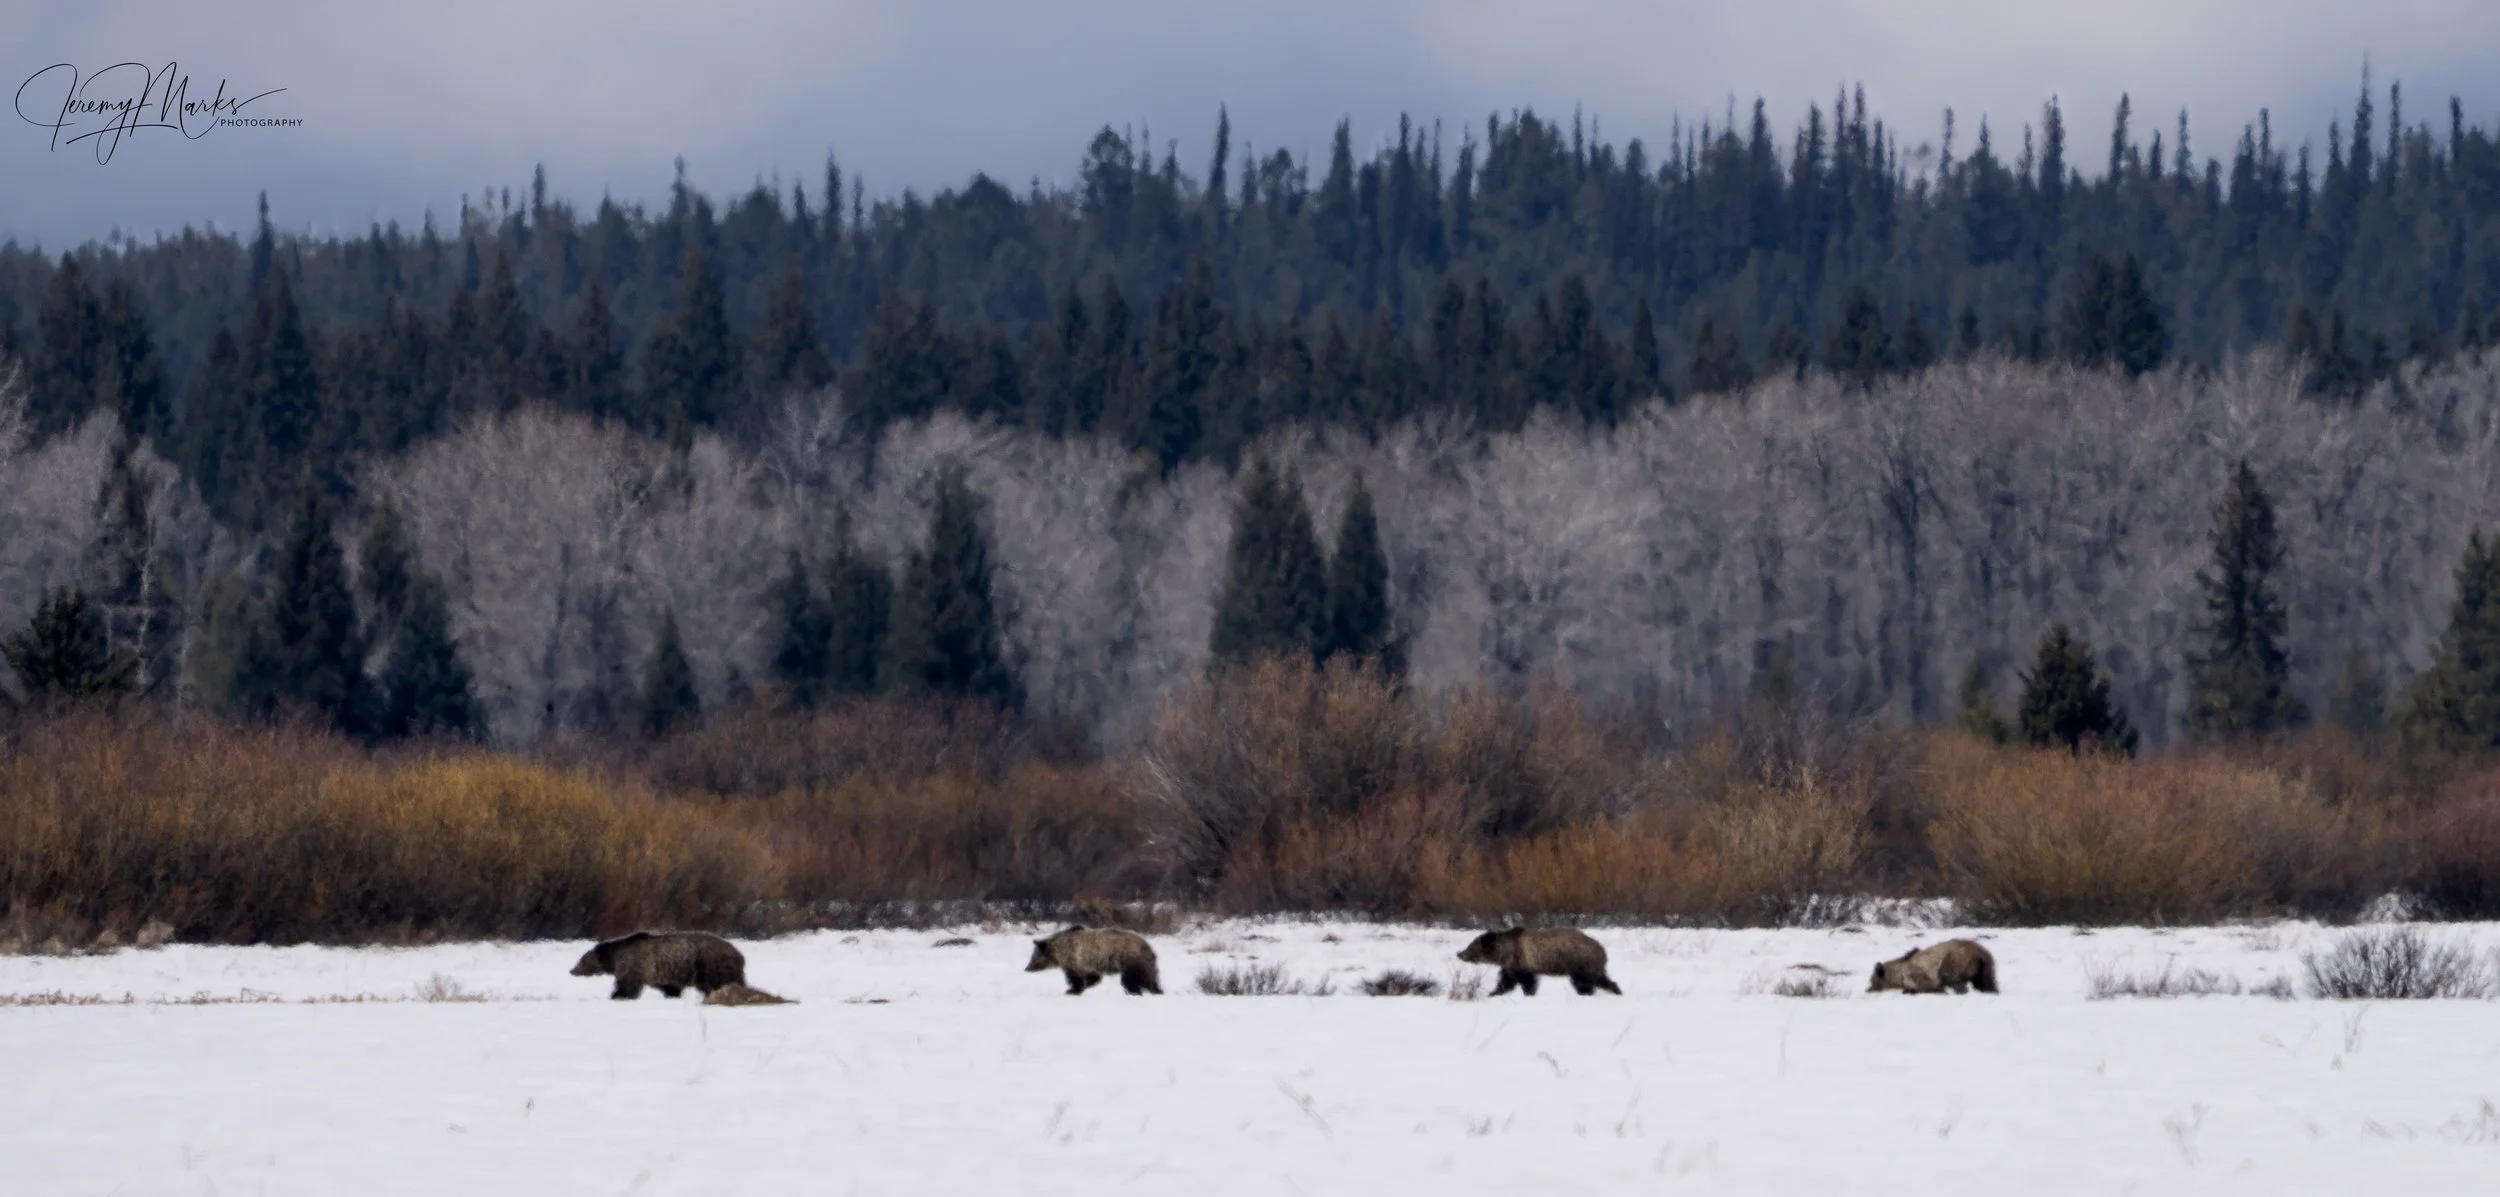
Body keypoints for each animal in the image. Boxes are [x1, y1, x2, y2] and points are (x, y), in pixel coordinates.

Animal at [570, 931, 747, 1000]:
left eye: (582, 959)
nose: (572, 970)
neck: (614, 957)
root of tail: (739, 954)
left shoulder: (634, 964)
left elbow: (627, 985)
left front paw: (617, 995)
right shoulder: (665, 973)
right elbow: (670, 987)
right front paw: (672, 995)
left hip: (710, 964)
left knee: (716, 983)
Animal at [1025, 926, 1161, 995]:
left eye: (1033, 956)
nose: (1027, 968)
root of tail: (1148, 946)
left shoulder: (1074, 959)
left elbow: (1075, 978)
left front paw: (1072, 990)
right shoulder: (1088, 962)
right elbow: (1093, 976)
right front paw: (1088, 984)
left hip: (1130, 959)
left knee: (1132, 979)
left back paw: (1136, 991)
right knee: (1147, 978)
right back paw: (1153, 990)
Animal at [1456, 927, 1621, 996]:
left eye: (1470, 947)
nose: (1459, 954)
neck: (1506, 952)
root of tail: (1602, 950)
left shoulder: (1521, 962)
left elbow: (1527, 981)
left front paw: (1529, 993)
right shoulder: (1510, 967)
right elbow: (1506, 982)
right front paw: (1494, 993)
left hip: (1579, 962)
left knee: (1583, 982)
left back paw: (1587, 993)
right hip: (1590, 966)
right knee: (1602, 979)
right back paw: (1616, 990)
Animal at [1868, 938, 1998, 995]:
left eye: (1871, 980)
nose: (1867, 989)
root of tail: (1979, 953)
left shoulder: (1918, 974)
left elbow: (1928, 986)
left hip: (1956, 959)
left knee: (1951, 976)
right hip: (1985, 966)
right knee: (1986, 982)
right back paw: (1991, 990)